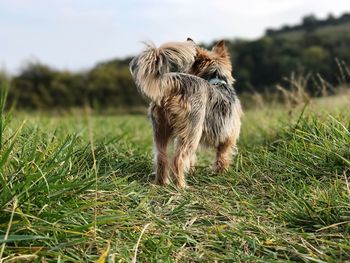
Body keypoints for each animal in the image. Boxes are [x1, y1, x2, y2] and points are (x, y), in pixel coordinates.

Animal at [130, 38, 242, 188]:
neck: (216, 78)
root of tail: (174, 85)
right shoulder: (228, 137)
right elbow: (222, 157)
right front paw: (222, 173)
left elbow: (193, 158)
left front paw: (194, 171)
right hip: (193, 130)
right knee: (178, 159)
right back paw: (181, 186)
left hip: (161, 129)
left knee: (162, 157)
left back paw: (162, 183)